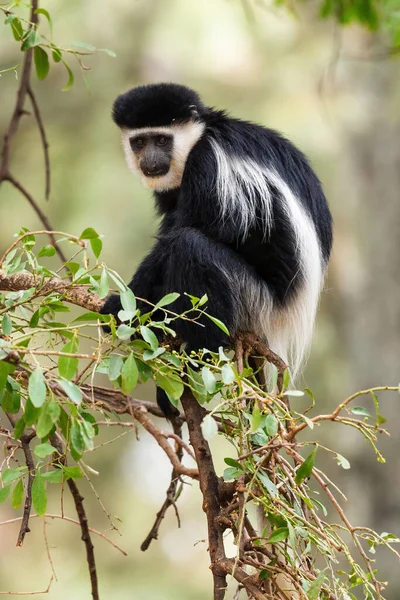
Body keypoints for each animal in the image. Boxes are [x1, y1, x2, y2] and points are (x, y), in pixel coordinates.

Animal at [101, 82, 332, 414]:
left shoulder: (211, 165)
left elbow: (196, 230)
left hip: (254, 301)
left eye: (162, 139)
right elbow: (171, 225)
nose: (150, 161)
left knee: (191, 247)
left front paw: (125, 306)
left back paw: (199, 355)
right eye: (140, 142)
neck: (202, 135)